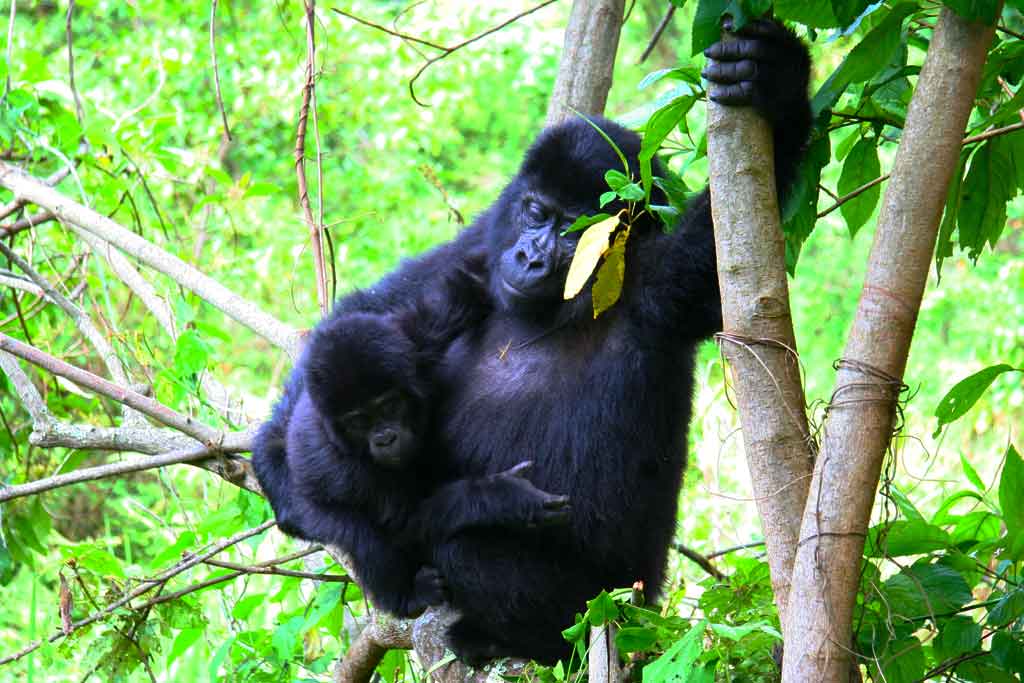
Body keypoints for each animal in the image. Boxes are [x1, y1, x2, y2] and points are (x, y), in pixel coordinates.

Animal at [276, 20, 811, 663]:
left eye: (574, 233)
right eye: (534, 212)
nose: (531, 256)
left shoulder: (660, 287)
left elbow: (716, 252)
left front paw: (777, 84)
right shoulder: (481, 245)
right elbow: (378, 313)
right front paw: (276, 463)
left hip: (609, 604)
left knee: (473, 551)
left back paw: (505, 636)